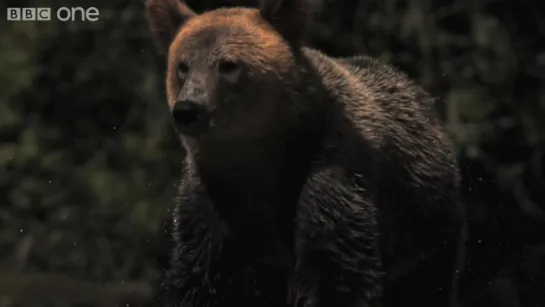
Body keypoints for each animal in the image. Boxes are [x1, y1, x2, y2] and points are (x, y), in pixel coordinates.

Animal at [146, 0, 468, 307]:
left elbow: (339, 270)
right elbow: (201, 278)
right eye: (183, 65)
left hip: (423, 225)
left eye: (228, 65)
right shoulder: (212, 201)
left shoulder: (329, 170)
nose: (188, 110)